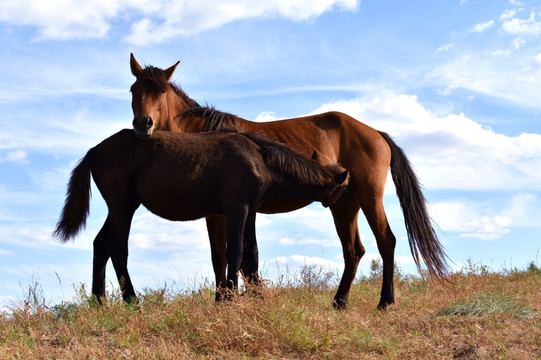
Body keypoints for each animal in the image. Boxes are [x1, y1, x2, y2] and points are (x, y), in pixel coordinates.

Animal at [52, 128, 348, 302]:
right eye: (344, 188)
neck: (259, 160)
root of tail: (95, 150)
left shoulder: (248, 212)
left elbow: (249, 254)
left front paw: (246, 298)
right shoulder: (236, 209)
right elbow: (235, 252)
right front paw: (229, 297)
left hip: (120, 208)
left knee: (101, 246)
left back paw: (98, 302)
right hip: (122, 207)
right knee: (117, 249)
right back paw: (132, 301)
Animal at [129, 53, 450, 310]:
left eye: (160, 92)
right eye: (134, 89)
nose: (143, 124)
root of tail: (375, 132)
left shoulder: (232, 211)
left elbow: (238, 256)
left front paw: (236, 300)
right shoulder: (223, 212)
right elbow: (226, 257)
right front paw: (231, 299)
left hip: (369, 197)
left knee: (386, 242)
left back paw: (385, 302)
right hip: (345, 205)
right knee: (353, 251)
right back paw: (339, 303)